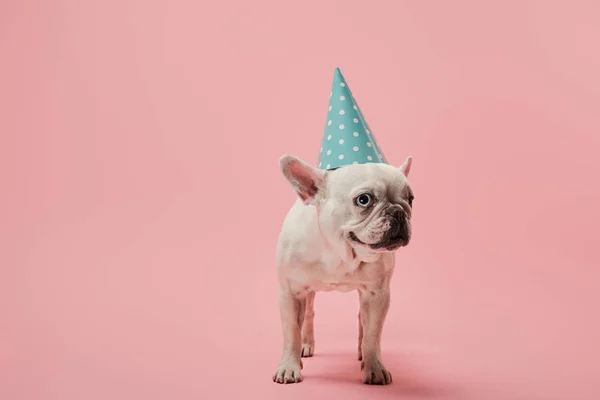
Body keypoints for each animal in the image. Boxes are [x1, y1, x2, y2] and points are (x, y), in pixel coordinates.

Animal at [272, 154, 412, 384]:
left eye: (411, 199)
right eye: (364, 200)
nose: (399, 212)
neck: (340, 253)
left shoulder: (377, 296)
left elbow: (372, 334)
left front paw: (374, 367)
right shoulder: (291, 293)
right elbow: (291, 332)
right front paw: (289, 367)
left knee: (362, 321)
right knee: (308, 314)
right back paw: (306, 345)